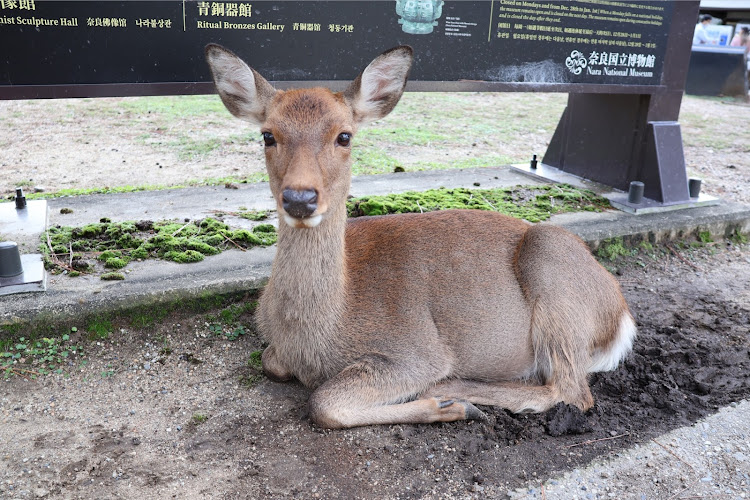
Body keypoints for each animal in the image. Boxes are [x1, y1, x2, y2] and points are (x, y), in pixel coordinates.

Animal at [206, 44, 636, 430]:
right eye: (267, 135)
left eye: (344, 136)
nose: (300, 198)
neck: (318, 333)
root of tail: (621, 319)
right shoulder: (279, 353)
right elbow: (272, 363)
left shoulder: (416, 351)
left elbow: (324, 401)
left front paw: (446, 404)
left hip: (553, 267)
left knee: (573, 391)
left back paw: (456, 392)